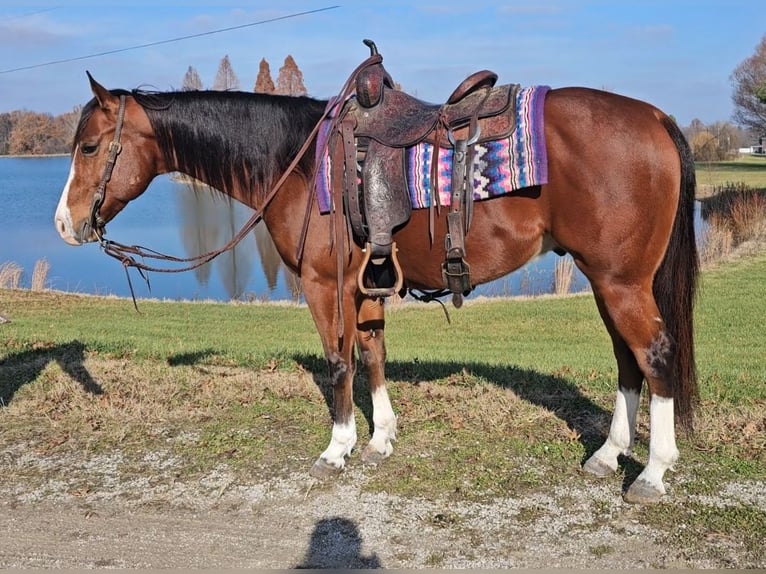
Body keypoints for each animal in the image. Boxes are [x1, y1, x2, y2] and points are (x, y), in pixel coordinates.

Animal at [55, 59, 704, 508]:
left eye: (89, 146)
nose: (65, 223)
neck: (297, 163)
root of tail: (654, 117)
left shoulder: (325, 286)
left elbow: (339, 362)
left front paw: (336, 448)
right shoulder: (365, 285)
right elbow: (372, 354)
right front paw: (380, 438)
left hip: (621, 282)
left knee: (654, 353)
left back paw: (652, 472)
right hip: (607, 280)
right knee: (626, 359)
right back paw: (608, 454)